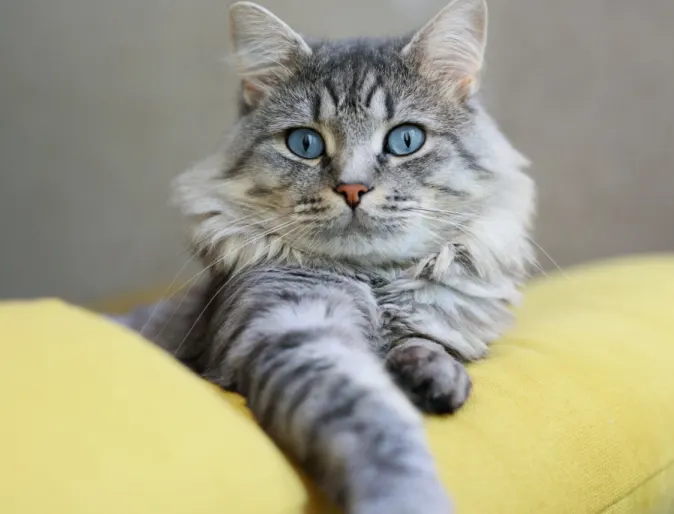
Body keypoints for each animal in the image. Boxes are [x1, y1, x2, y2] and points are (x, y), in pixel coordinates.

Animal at [119, 2, 532, 510]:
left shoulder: (436, 325)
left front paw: (435, 379)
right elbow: (376, 423)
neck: (373, 281)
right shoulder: (297, 331)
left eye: (405, 140)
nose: (352, 189)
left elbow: (427, 343)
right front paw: (405, 496)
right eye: (305, 144)